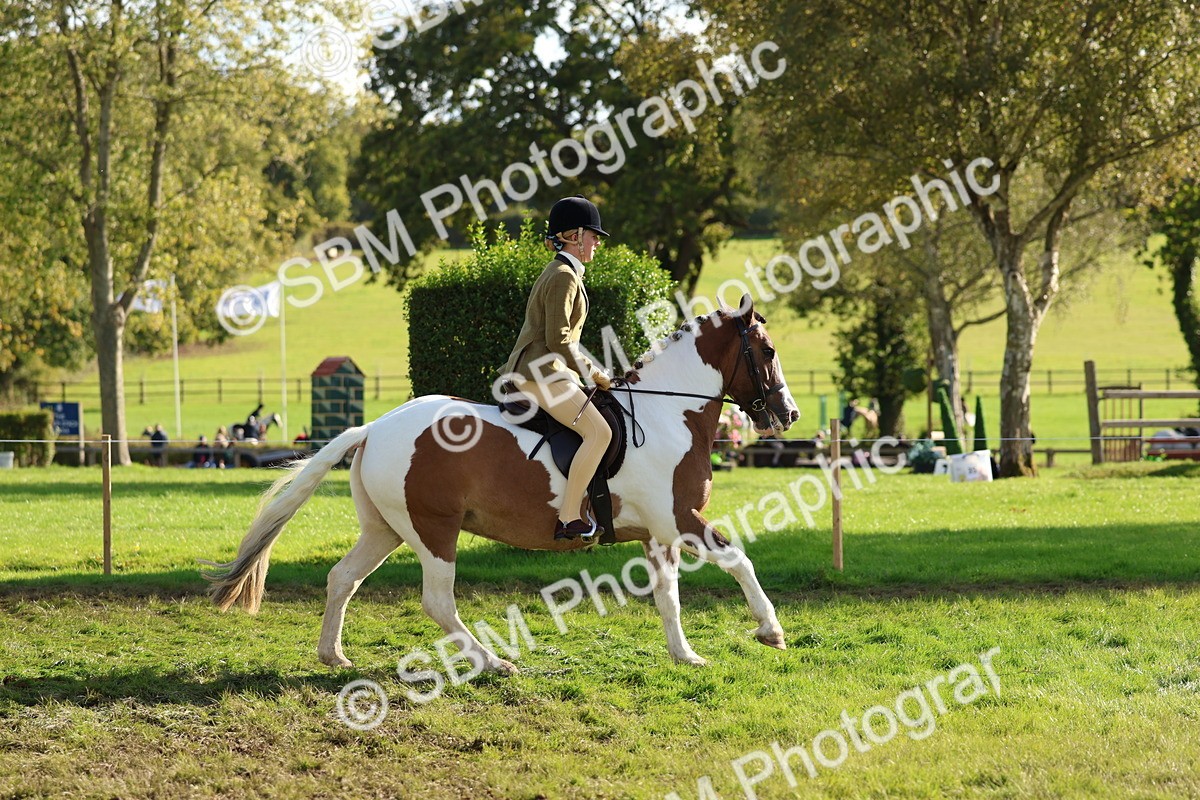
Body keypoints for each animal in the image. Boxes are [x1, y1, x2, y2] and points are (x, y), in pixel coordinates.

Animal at [203, 295, 800, 671]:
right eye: (768, 352)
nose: (789, 414)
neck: (665, 414)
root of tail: (374, 427)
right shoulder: (679, 520)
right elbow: (738, 558)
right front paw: (770, 631)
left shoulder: (660, 533)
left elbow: (668, 597)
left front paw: (685, 656)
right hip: (434, 530)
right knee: (437, 602)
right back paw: (492, 662)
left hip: (385, 529)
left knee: (342, 578)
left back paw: (333, 656)